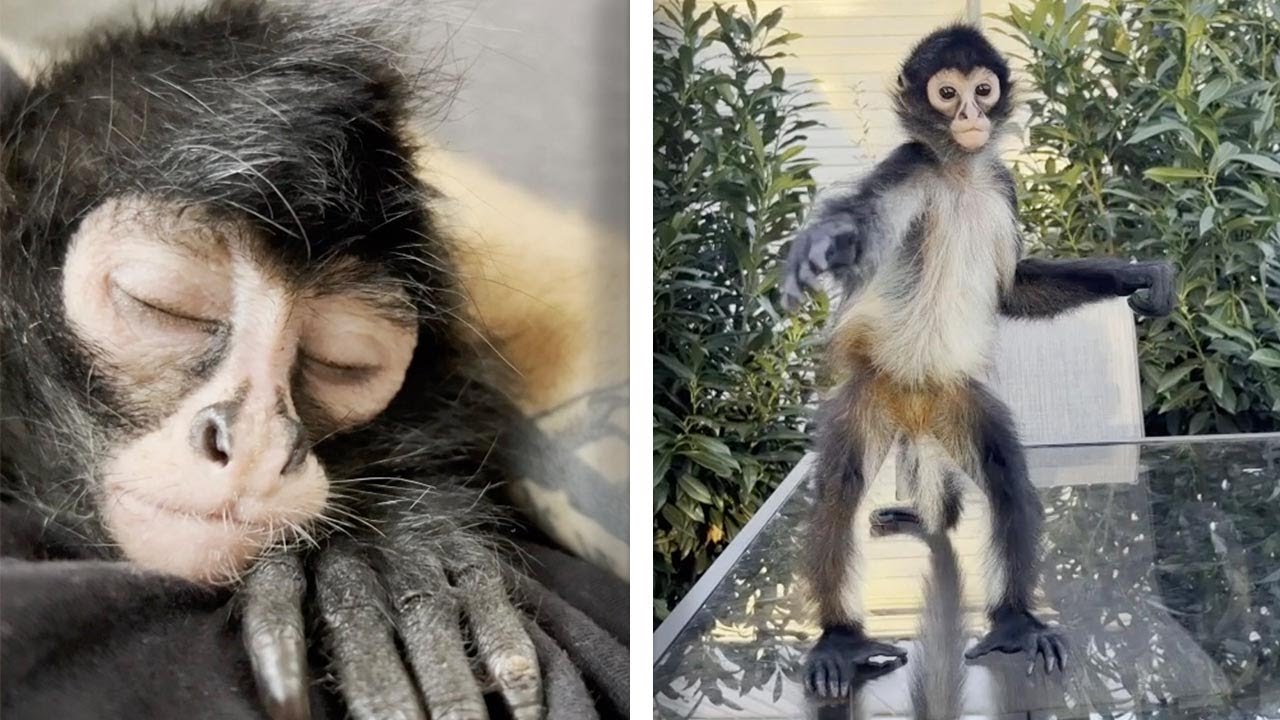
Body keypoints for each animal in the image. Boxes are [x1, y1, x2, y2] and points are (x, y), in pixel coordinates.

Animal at [780, 24, 1176, 695]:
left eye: (982, 89)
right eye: (947, 93)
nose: (969, 115)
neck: (961, 171)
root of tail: (913, 408)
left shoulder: (1001, 180)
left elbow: (1012, 287)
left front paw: (1139, 274)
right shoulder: (907, 168)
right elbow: (861, 227)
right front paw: (820, 242)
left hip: (957, 401)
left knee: (1004, 475)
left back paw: (1013, 621)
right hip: (870, 393)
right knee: (841, 484)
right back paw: (840, 641)